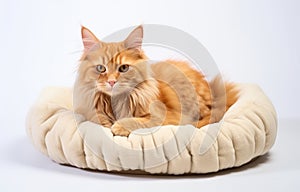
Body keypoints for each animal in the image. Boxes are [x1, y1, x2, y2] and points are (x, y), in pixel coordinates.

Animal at [74, 25, 238, 136]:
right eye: (101, 68)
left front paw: (119, 126)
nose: (112, 82)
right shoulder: (88, 111)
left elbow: (137, 121)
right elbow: (97, 118)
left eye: (124, 68)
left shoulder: (164, 116)